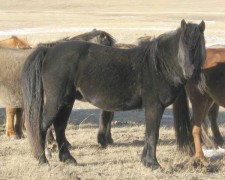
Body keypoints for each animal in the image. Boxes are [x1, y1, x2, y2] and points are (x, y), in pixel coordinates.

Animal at [22, 20, 206, 169]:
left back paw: (68, 159)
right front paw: (153, 163)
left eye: (199, 45)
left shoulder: (152, 109)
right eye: (183, 44)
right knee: (42, 127)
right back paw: (42, 159)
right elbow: (153, 134)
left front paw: (145, 161)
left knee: (59, 127)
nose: (190, 72)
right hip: (56, 101)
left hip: (67, 101)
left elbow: (148, 134)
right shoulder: (154, 107)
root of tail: (49, 50)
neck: (158, 65)